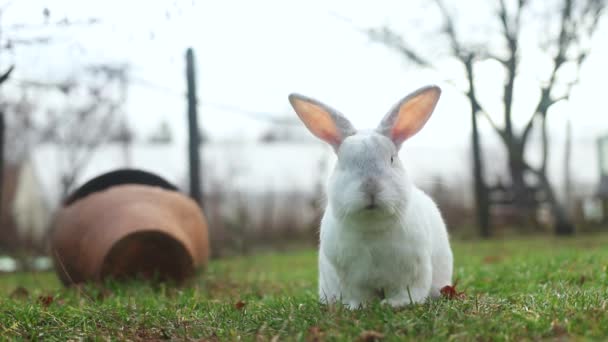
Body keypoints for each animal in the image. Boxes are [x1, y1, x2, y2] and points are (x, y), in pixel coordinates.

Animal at [288, 86, 452, 310]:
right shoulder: (351, 279)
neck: (372, 227)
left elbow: (407, 291)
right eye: (343, 163)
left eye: (391, 159)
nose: (370, 187)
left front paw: (396, 304)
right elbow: (359, 294)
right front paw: (359, 307)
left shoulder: (412, 272)